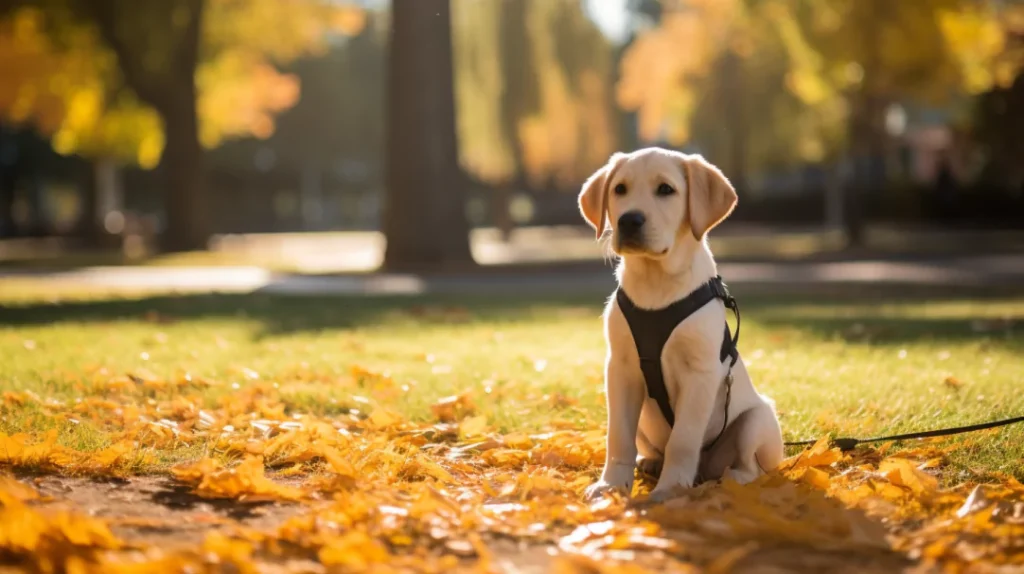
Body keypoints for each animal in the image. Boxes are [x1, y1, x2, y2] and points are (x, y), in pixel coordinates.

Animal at [577, 147, 782, 501]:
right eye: (619, 189)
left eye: (665, 190)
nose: (629, 220)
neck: (656, 281)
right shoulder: (621, 369)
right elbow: (618, 437)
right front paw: (611, 485)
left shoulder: (700, 373)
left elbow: (683, 440)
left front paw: (671, 489)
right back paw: (649, 462)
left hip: (756, 419)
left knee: (749, 466)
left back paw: (732, 478)